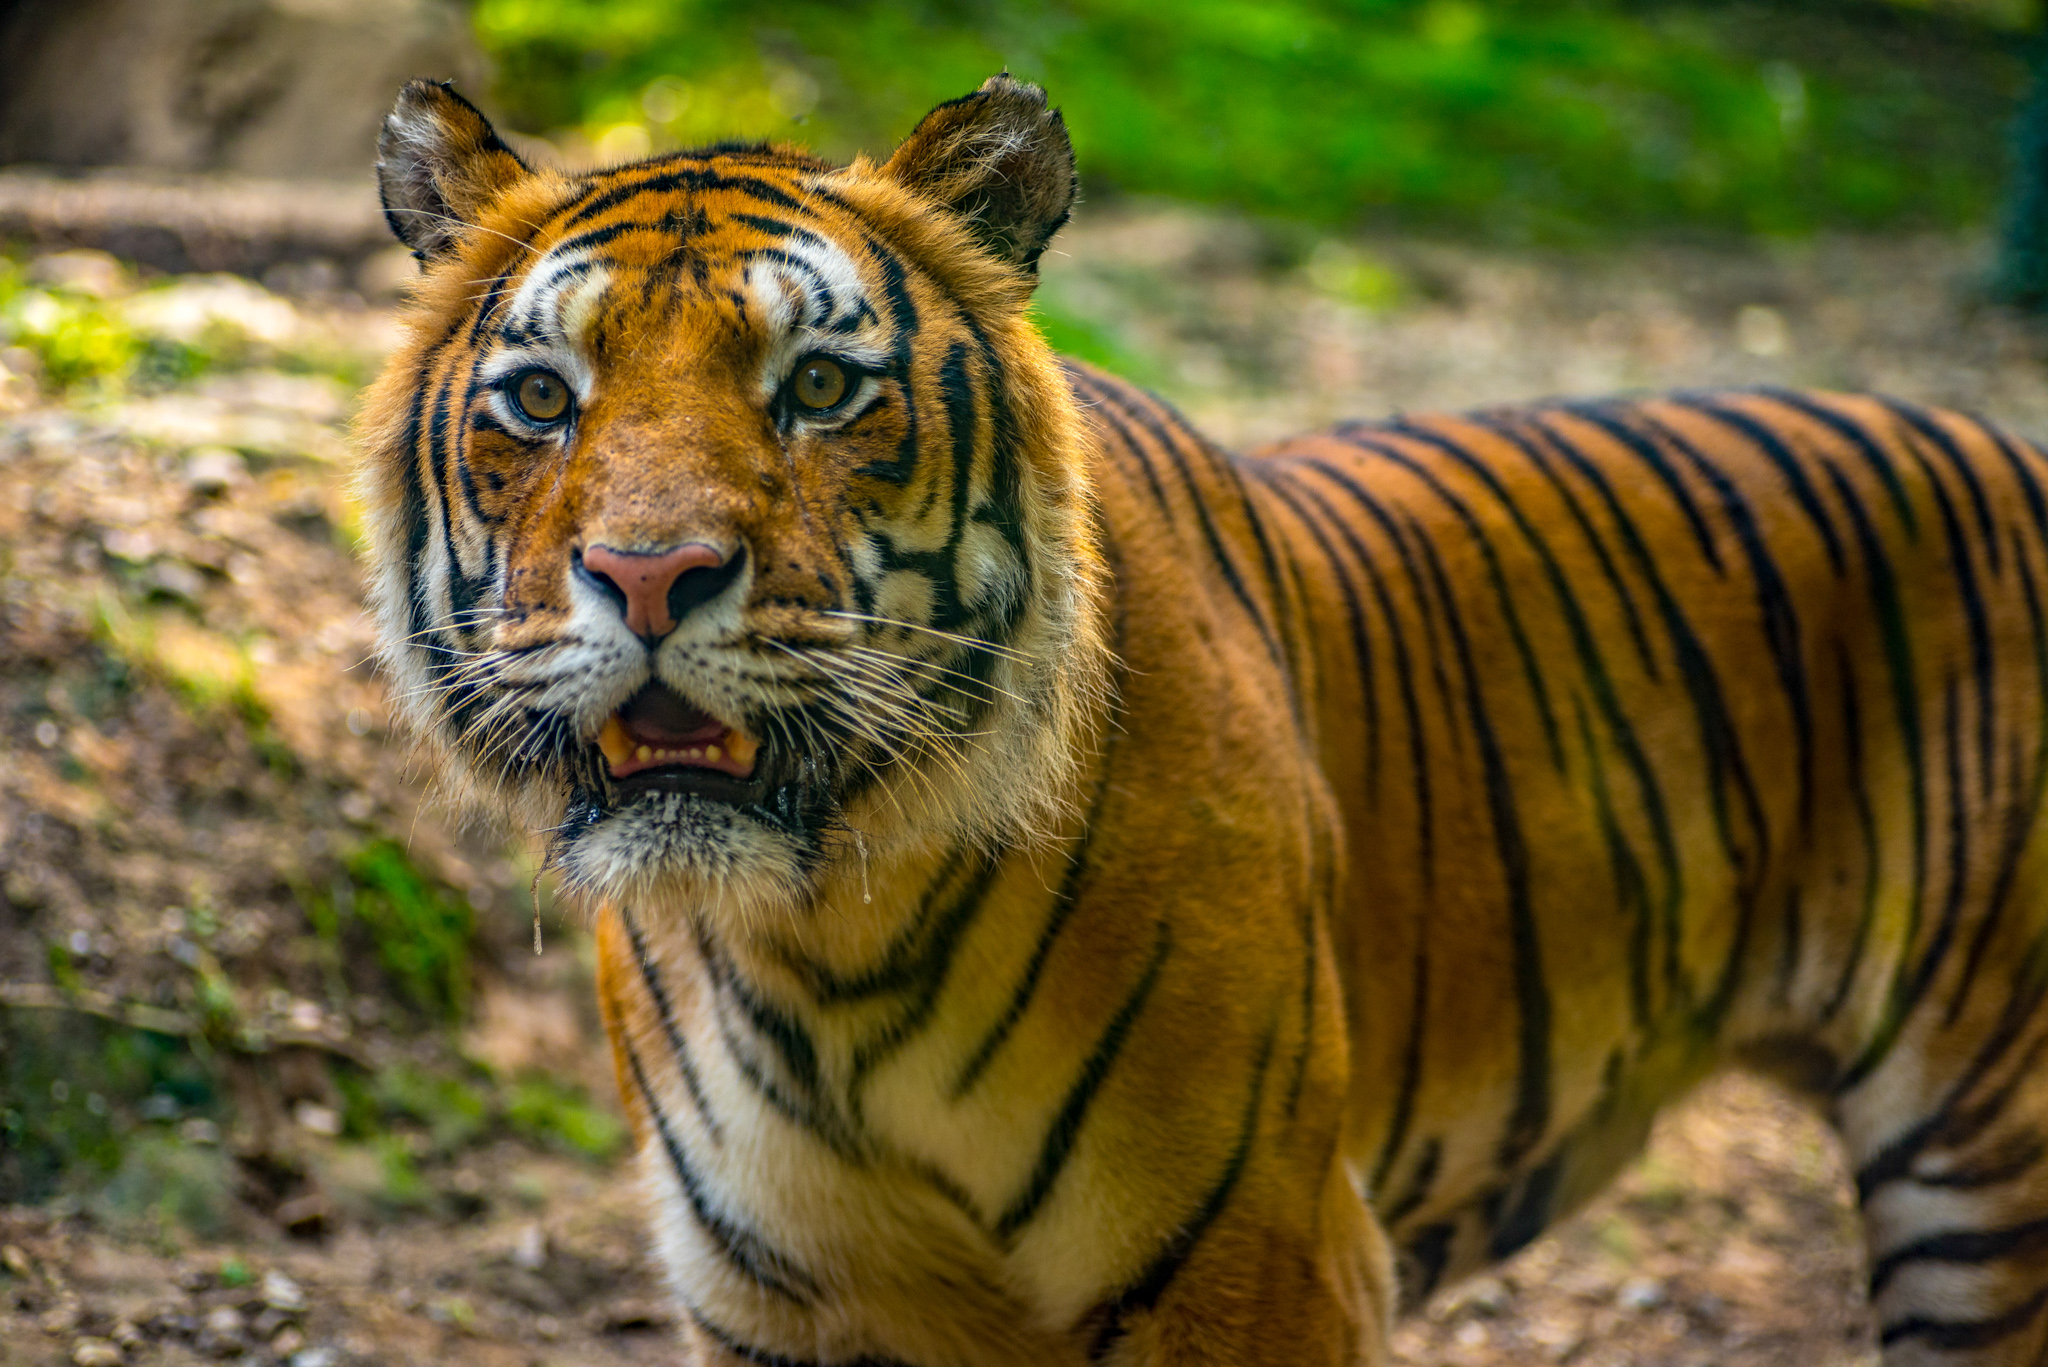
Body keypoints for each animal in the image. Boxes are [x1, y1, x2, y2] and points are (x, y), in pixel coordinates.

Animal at [356, 72, 2048, 1365]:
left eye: (823, 385)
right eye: (541, 398)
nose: (650, 574)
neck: (822, 937)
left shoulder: (1257, 1258)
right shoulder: (774, 1298)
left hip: (1984, 1166)